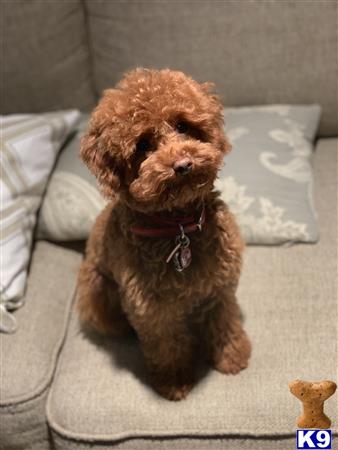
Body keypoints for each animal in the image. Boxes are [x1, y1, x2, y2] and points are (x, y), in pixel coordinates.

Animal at [77, 69, 251, 400]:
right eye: (143, 145)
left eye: (183, 125)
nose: (183, 165)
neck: (178, 226)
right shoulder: (150, 308)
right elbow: (166, 346)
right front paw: (174, 381)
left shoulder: (220, 286)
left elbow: (224, 321)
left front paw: (232, 356)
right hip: (97, 294)